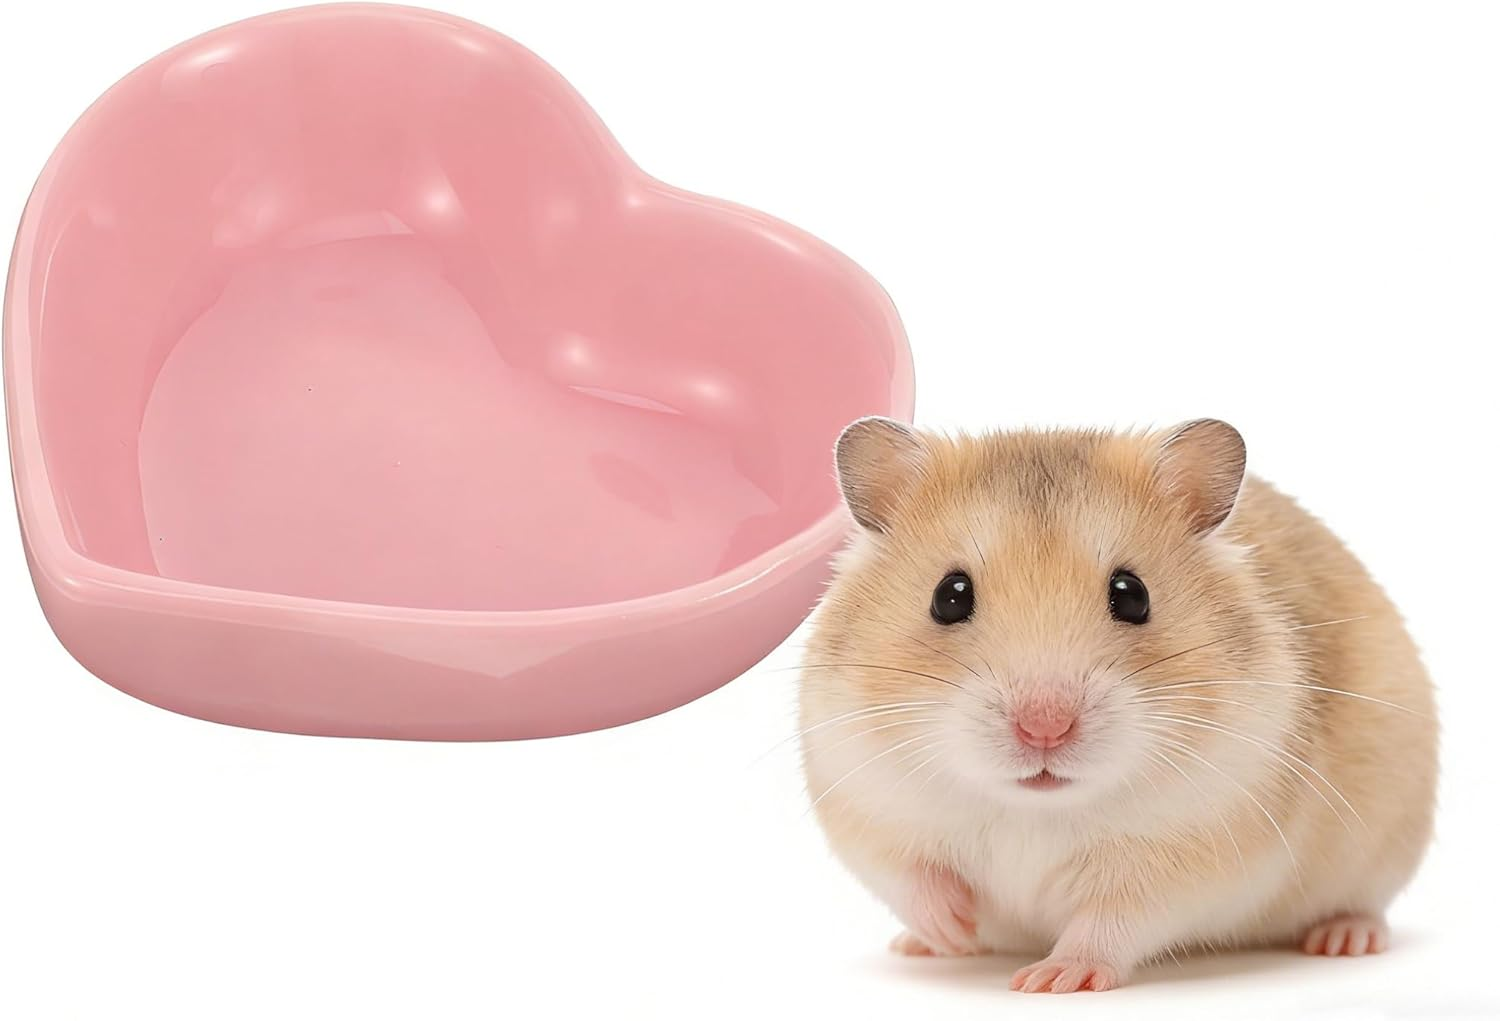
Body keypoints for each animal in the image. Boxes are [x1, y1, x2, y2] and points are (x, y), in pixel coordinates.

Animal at [798, 418, 1437, 993]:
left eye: (1132, 594)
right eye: (948, 596)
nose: (1045, 729)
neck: (1036, 808)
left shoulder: (1190, 854)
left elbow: (1114, 920)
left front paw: (1050, 980)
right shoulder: (869, 809)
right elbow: (913, 878)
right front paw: (953, 931)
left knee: (1362, 904)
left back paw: (1344, 939)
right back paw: (918, 945)